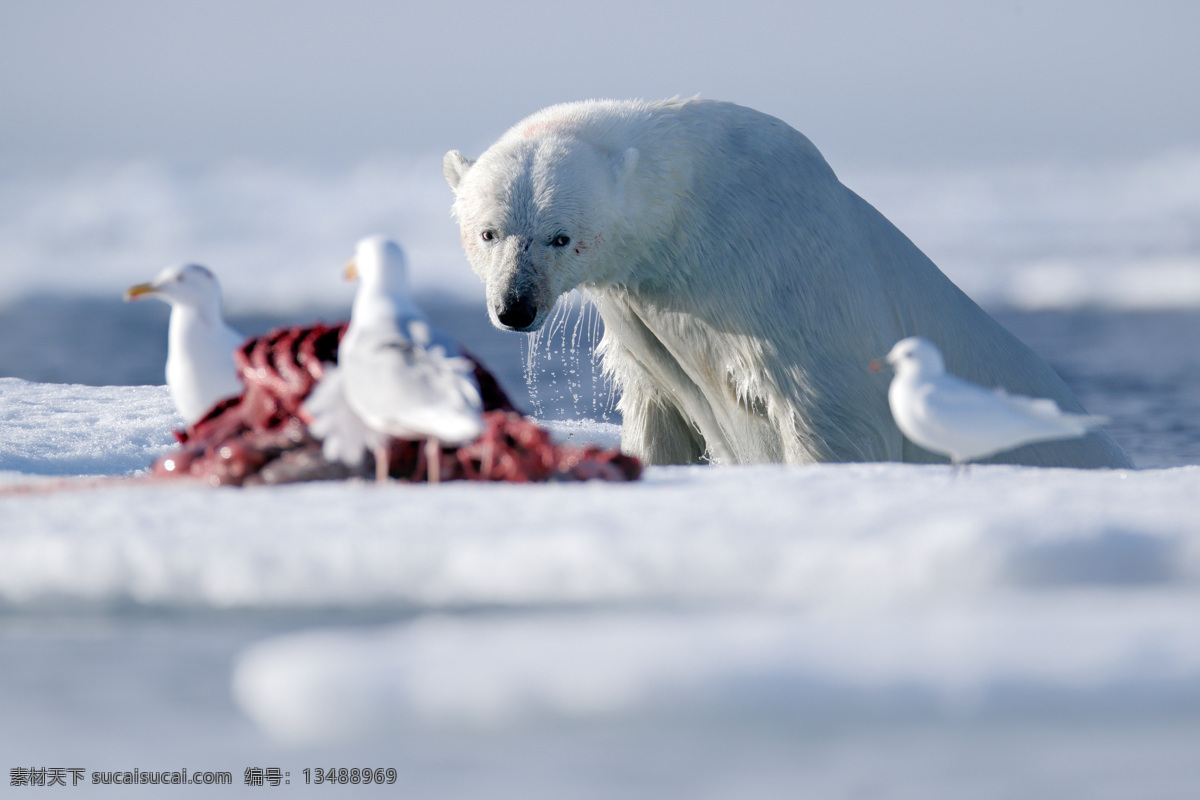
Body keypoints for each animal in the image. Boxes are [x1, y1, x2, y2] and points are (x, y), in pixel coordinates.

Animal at [442, 97, 1132, 468]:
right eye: (488, 232)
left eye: (560, 236)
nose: (515, 307)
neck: (698, 214)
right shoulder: (647, 321)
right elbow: (656, 417)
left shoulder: (785, 279)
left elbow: (837, 417)